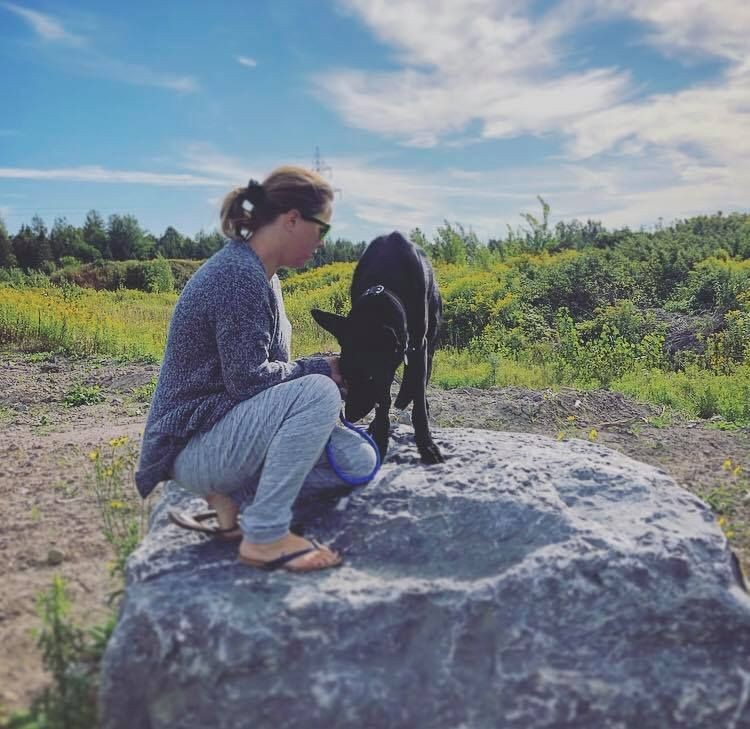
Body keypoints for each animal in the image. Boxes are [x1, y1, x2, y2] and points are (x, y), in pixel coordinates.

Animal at [312, 230, 446, 464]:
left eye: (369, 378)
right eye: (346, 376)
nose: (351, 415)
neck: (385, 283)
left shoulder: (417, 346)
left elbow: (417, 402)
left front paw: (426, 445)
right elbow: (383, 401)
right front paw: (381, 438)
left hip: (429, 342)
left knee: (422, 379)